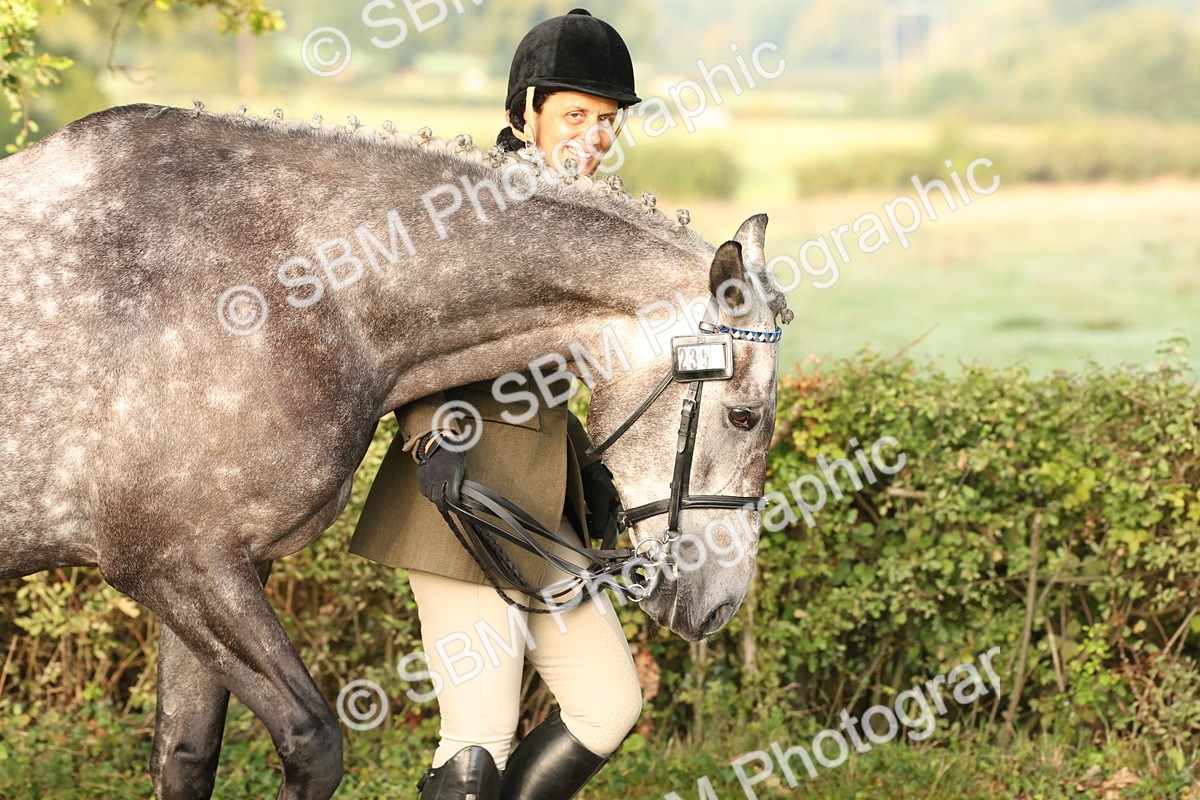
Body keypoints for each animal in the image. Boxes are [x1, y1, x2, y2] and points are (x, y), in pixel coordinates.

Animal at [0, 102, 791, 800]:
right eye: (745, 416)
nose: (720, 605)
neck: (291, 286)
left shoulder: (217, 567)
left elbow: (186, 757)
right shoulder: (177, 564)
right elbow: (313, 745)